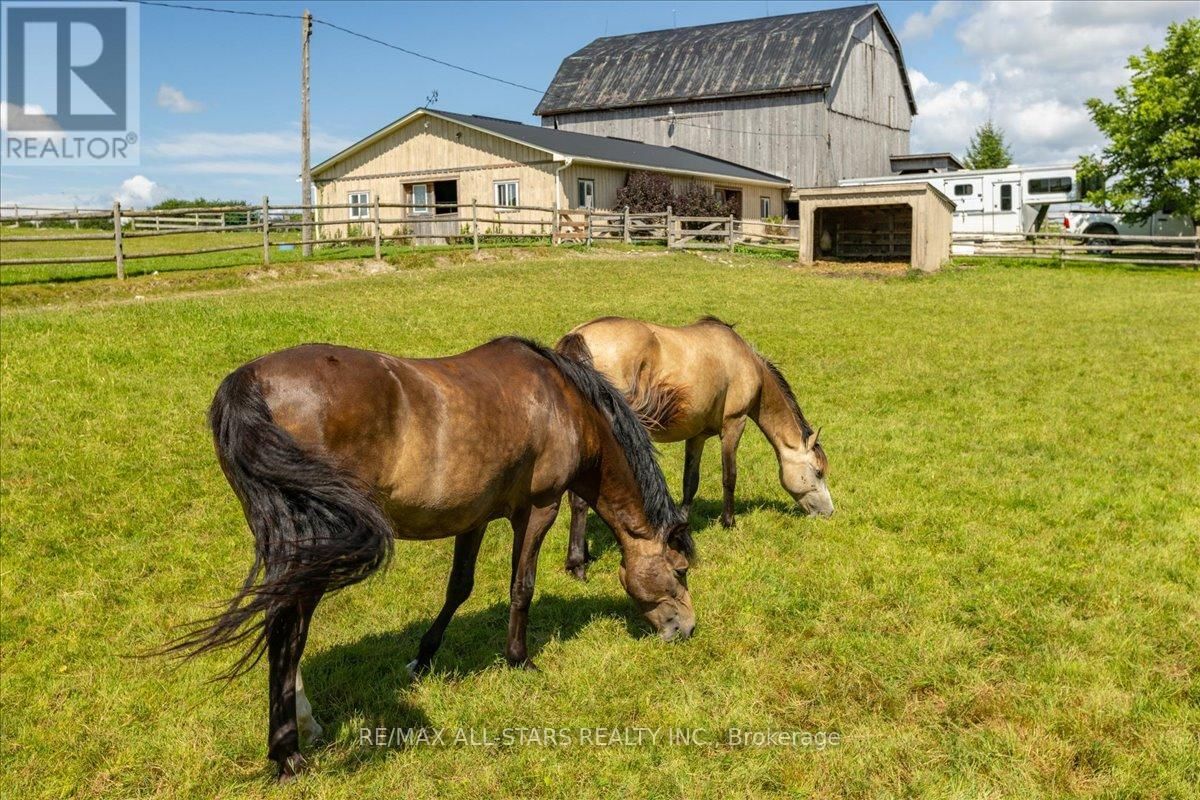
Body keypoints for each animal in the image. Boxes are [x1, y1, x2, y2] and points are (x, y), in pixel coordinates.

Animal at [164, 335, 700, 782]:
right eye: (680, 571)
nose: (687, 629)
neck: (564, 403)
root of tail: (250, 383)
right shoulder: (539, 509)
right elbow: (521, 587)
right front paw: (520, 659)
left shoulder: (474, 518)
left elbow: (459, 587)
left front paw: (422, 658)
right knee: (287, 632)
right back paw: (289, 753)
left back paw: (303, 727)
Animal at [556, 314, 830, 582]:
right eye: (818, 472)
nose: (829, 512)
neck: (744, 359)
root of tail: (579, 335)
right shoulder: (734, 423)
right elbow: (729, 476)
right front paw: (729, 522)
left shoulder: (697, 436)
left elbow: (690, 482)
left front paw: (682, 528)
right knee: (580, 501)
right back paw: (578, 565)